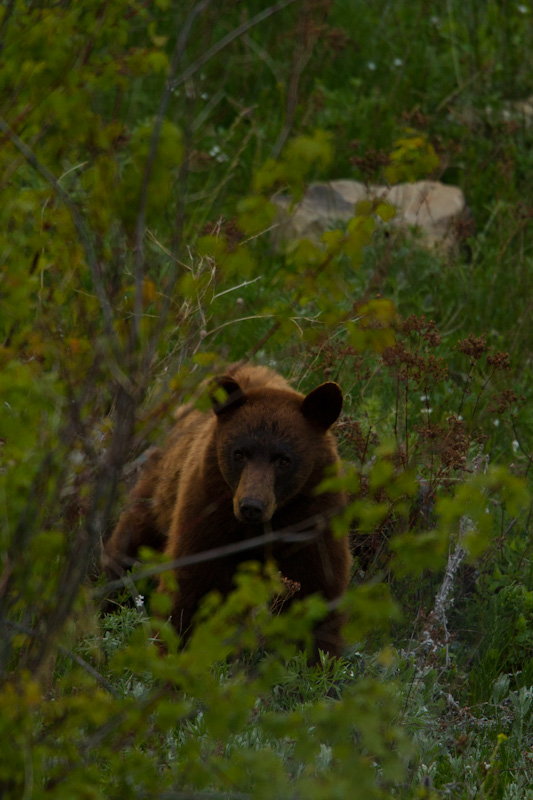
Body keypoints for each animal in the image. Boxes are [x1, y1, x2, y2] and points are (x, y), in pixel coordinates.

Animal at [103, 366, 354, 660]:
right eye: (240, 453)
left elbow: (316, 592)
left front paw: (318, 661)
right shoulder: (209, 510)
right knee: (130, 547)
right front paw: (171, 650)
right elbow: (192, 585)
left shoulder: (312, 518)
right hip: (158, 494)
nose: (251, 505)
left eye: (284, 460)